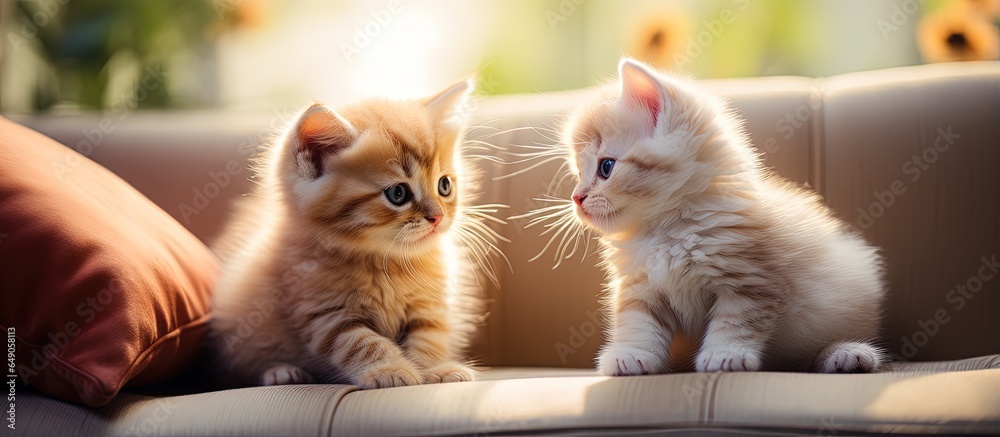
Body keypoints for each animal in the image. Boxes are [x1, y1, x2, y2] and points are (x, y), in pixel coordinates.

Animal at [209, 79, 500, 388]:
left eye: (444, 186)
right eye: (398, 193)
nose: (438, 217)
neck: (389, 262)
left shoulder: (429, 307)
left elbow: (429, 338)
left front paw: (432, 370)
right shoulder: (325, 313)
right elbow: (362, 343)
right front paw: (391, 371)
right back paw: (281, 372)